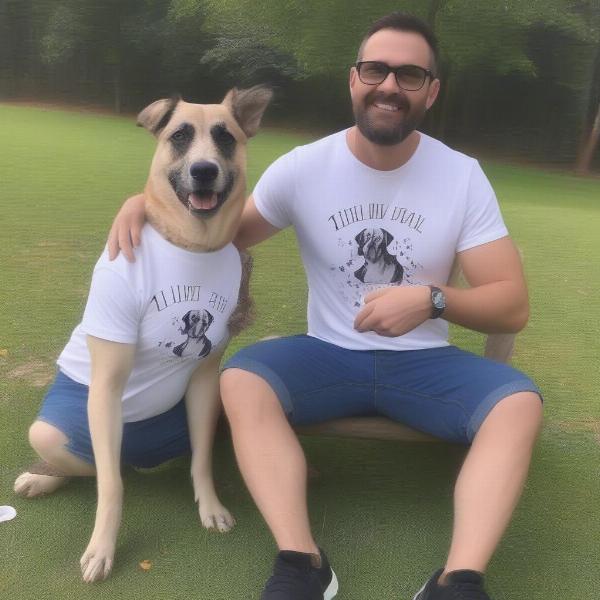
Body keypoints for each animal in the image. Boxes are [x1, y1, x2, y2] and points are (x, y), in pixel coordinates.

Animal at [14, 86, 272, 584]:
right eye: (180, 135)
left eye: (225, 137)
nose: (204, 170)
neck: (192, 244)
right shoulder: (108, 382)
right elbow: (111, 487)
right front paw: (102, 547)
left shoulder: (206, 380)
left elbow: (201, 459)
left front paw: (209, 505)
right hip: (60, 431)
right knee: (94, 462)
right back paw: (44, 476)